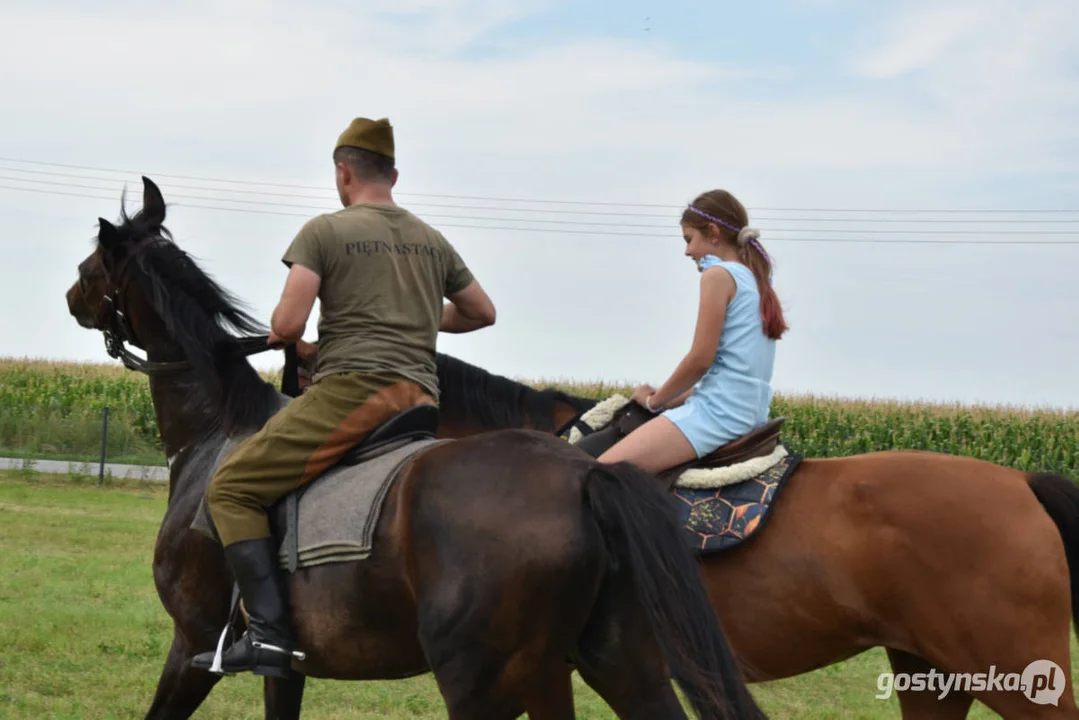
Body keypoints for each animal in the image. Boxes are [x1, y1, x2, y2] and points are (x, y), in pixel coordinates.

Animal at [63, 175, 768, 720]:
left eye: (90, 265)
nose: (72, 298)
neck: (217, 430)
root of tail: (583, 475)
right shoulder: (285, 668)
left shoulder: (192, 647)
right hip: (616, 663)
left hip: (485, 682)